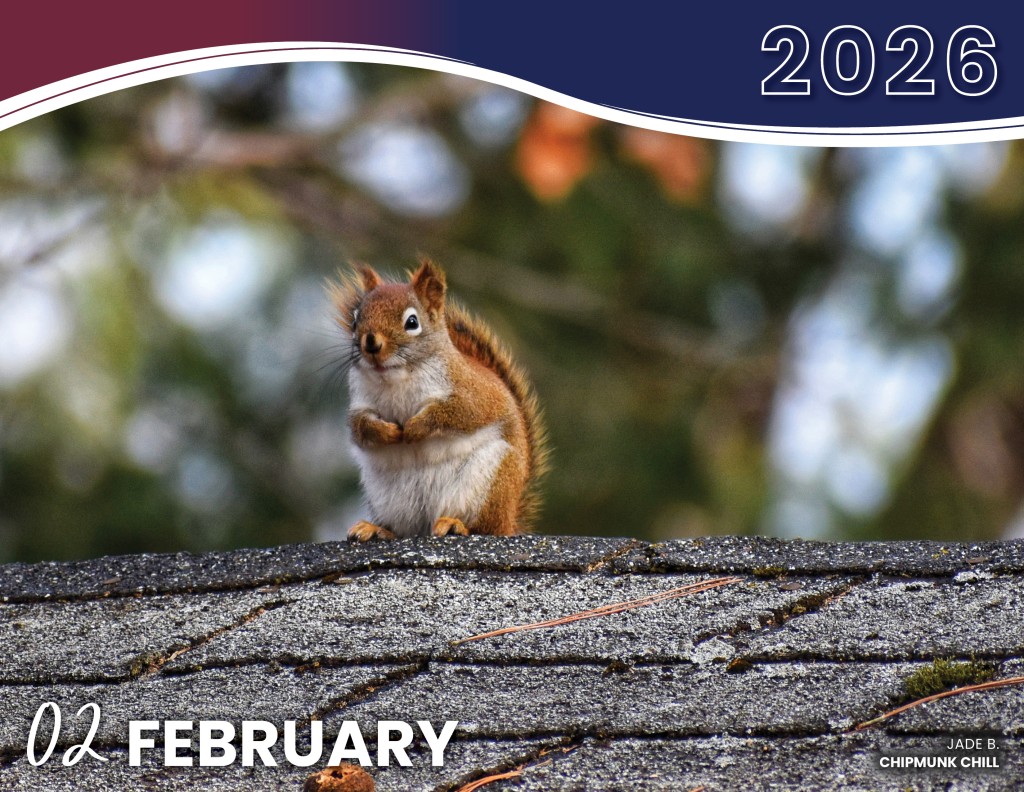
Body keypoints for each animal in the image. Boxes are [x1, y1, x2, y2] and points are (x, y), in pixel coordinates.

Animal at [328, 258, 548, 541]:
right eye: (355, 320)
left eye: (412, 322)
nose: (371, 343)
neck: (396, 376)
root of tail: (509, 521)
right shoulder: (360, 402)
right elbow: (359, 427)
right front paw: (387, 431)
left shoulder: (471, 392)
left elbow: (461, 412)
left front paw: (415, 427)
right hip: (388, 497)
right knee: (403, 529)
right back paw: (376, 528)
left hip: (490, 482)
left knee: (485, 527)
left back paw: (457, 524)